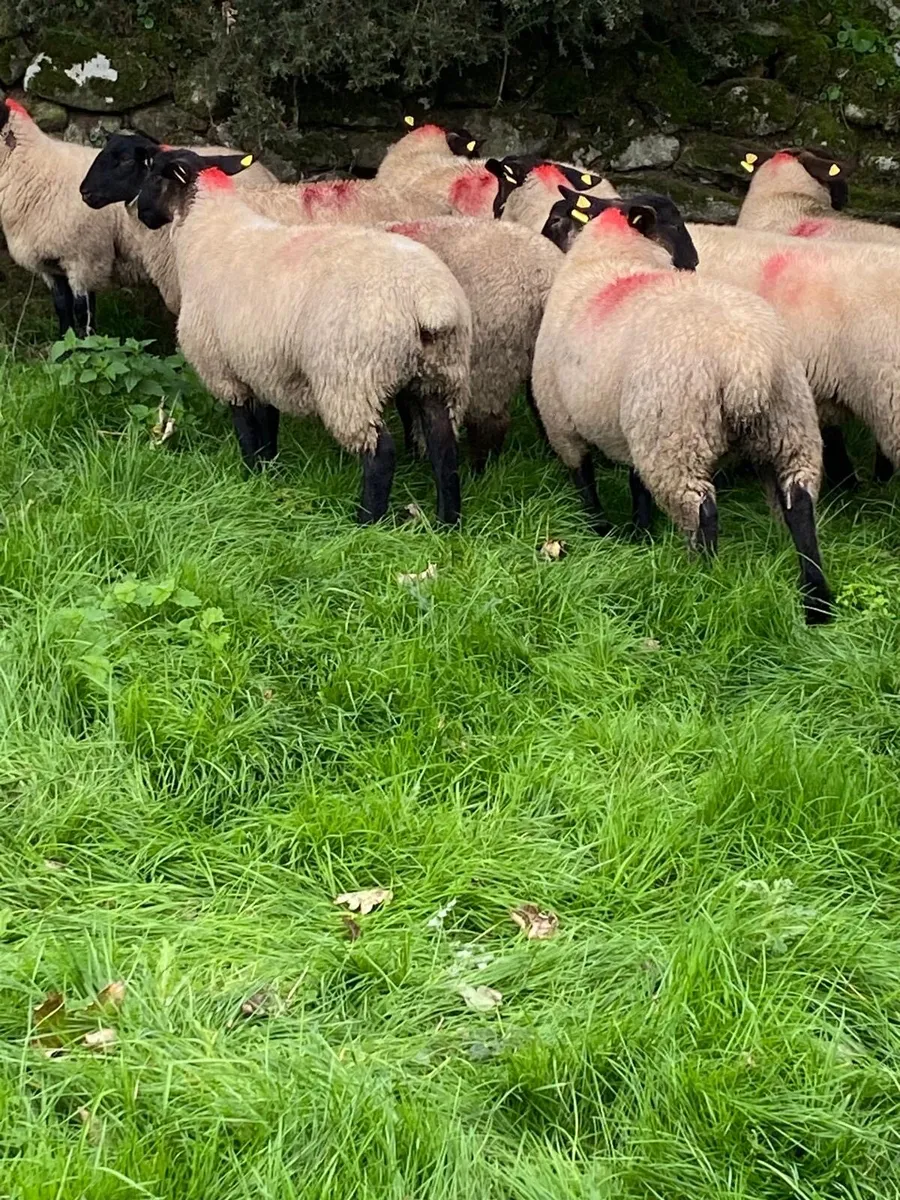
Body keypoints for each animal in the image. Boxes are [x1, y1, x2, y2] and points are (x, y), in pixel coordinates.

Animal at [136, 149, 473, 526]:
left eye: (153, 174)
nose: (141, 213)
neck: (206, 228)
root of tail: (429, 300)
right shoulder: (260, 363)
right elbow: (267, 422)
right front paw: (268, 472)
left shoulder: (223, 368)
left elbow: (245, 427)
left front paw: (250, 473)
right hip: (441, 376)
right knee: (444, 449)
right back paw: (447, 523)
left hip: (351, 379)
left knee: (380, 453)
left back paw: (365, 521)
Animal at [533, 189, 832, 625]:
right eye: (674, 223)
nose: (693, 262)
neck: (610, 260)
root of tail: (748, 364)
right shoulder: (633, 426)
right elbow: (636, 485)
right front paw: (640, 534)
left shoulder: (561, 421)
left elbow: (584, 479)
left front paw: (599, 529)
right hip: (788, 425)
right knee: (800, 504)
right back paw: (817, 601)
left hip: (677, 436)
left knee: (701, 511)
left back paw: (703, 581)